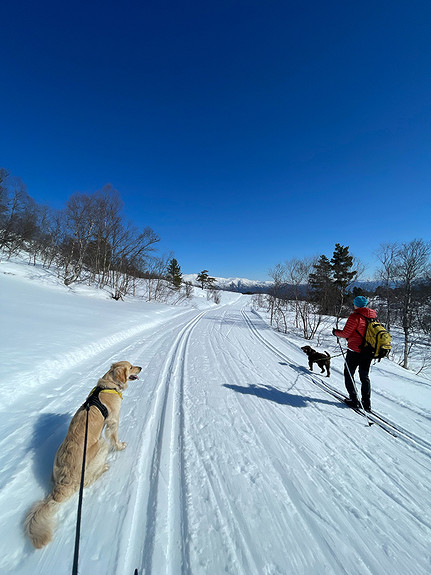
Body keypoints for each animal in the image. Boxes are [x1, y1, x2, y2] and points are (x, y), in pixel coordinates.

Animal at [24, 360, 142, 548]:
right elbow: (115, 437)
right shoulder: (113, 422)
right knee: (88, 480)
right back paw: (104, 468)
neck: (109, 385)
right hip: (101, 445)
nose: (141, 368)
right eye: (131, 367)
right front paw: (120, 446)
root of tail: (61, 486)